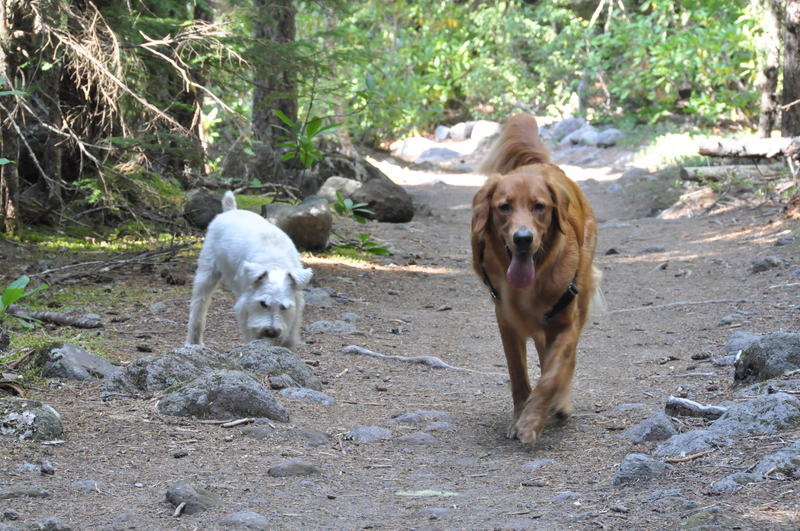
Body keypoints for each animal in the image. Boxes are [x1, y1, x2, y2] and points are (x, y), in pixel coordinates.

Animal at [186, 191, 313, 349]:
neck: (275, 264)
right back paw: (193, 341)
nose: (271, 332)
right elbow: (250, 332)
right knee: (199, 306)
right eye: (263, 303)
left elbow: (291, 332)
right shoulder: (245, 307)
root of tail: (230, 211)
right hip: (207, 273)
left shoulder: (296, 304)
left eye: (283, 307)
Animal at [471, 114, 601, 448]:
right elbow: (520, 376)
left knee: (564, 362)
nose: (523, 238)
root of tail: (542, 163)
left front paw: (531, 421)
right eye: (504, 206)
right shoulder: (507, 322)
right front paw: (520, 416)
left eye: (539, 206)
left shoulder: (566, 322)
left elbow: (553, 376)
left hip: (580, 297)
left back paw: (560, 402)